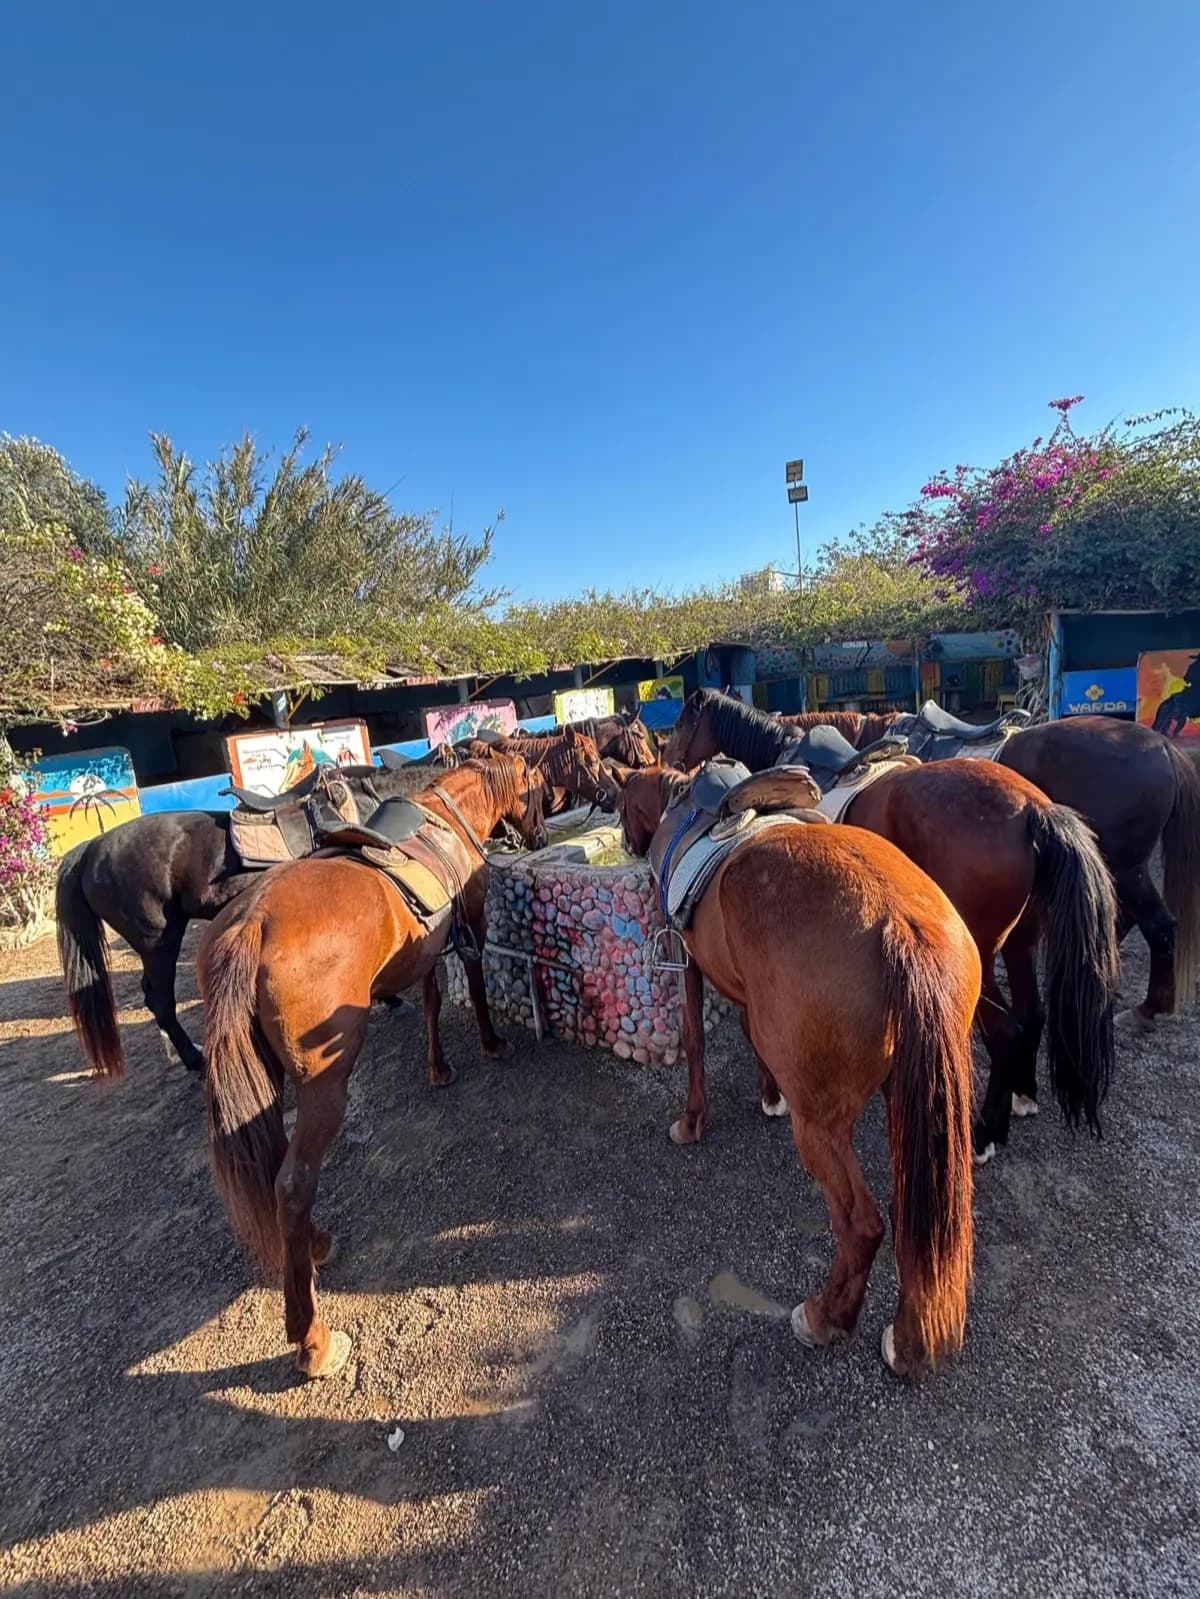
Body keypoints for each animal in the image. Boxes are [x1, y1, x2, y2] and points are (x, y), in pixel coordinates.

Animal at [198, 755, 547, 1379]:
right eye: (536, 786)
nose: (539, 836)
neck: (446, 816)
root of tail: (251, 923)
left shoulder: (427, 949)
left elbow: (431, 1002)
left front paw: (438, 1067)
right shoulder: (472, 925)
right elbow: (476, 987)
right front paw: (490, 1042)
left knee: (275, 1171)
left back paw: (314, 1245)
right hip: (324, 1087)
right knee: (293, 1184)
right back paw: (311, 1337)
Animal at [617, 766, 980, 1379]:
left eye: (619, 804)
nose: (625, 843)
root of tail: (899, 925)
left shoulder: (687, 960)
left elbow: (694, 1039)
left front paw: (692, 1121)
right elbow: (748, 1033)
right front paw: (768, 1095)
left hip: (822, 1129)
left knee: (862, 1226)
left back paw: (825, 1317)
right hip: (916, 1106)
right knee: (916, 1221)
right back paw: (907, 1341)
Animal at [661, 689, 1120, 1159]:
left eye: (680, 723)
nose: (668, 759)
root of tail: (1034, 809)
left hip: (982, 954)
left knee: (1007, 1031)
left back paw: (987, 1133)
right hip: (1020, 942)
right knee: (1032, 1014)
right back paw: (1023, 1095)